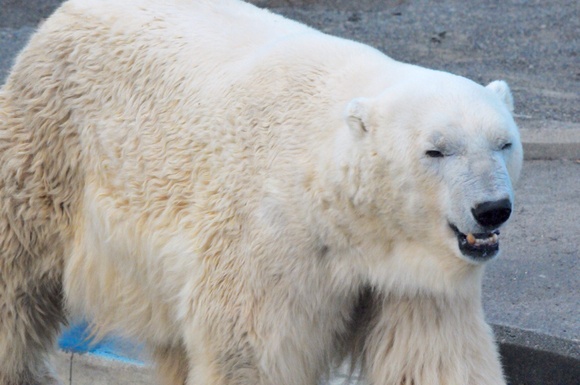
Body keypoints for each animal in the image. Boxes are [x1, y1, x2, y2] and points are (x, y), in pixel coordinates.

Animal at [0, 0, 520, 382]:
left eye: (504, 143)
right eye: (436, 150)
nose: (492, 209)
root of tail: (58, 17)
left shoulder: (416, 279)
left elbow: (436, 356)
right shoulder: (272, 237)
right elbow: (250, 348)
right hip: (49, 150)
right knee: (18, 279)